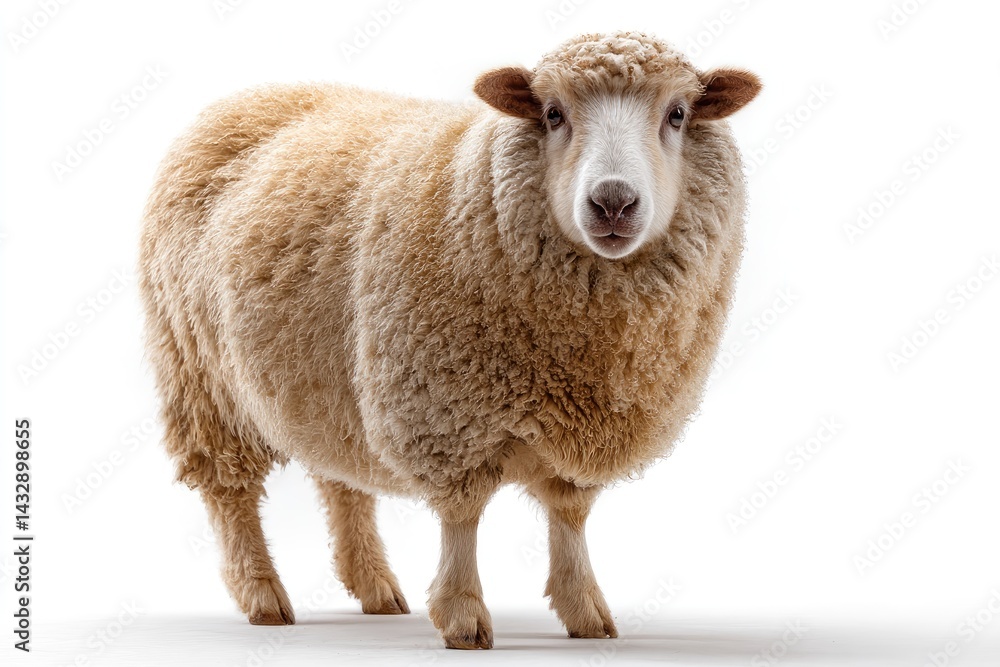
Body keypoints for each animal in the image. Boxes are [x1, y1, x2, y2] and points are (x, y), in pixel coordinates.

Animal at [138, 31, 760, 649]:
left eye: (677, 114)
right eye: (553, 114)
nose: (612, 202)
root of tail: (244, 100)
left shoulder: (577, 423)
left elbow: (568, 516)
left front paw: (584, 609)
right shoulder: (442, 412)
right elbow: (462, 519)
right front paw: (463, 616)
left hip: (329, 384)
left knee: (342, 481)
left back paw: (374, 585)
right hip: (201, 373)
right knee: (230, 492)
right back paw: (263, 594)